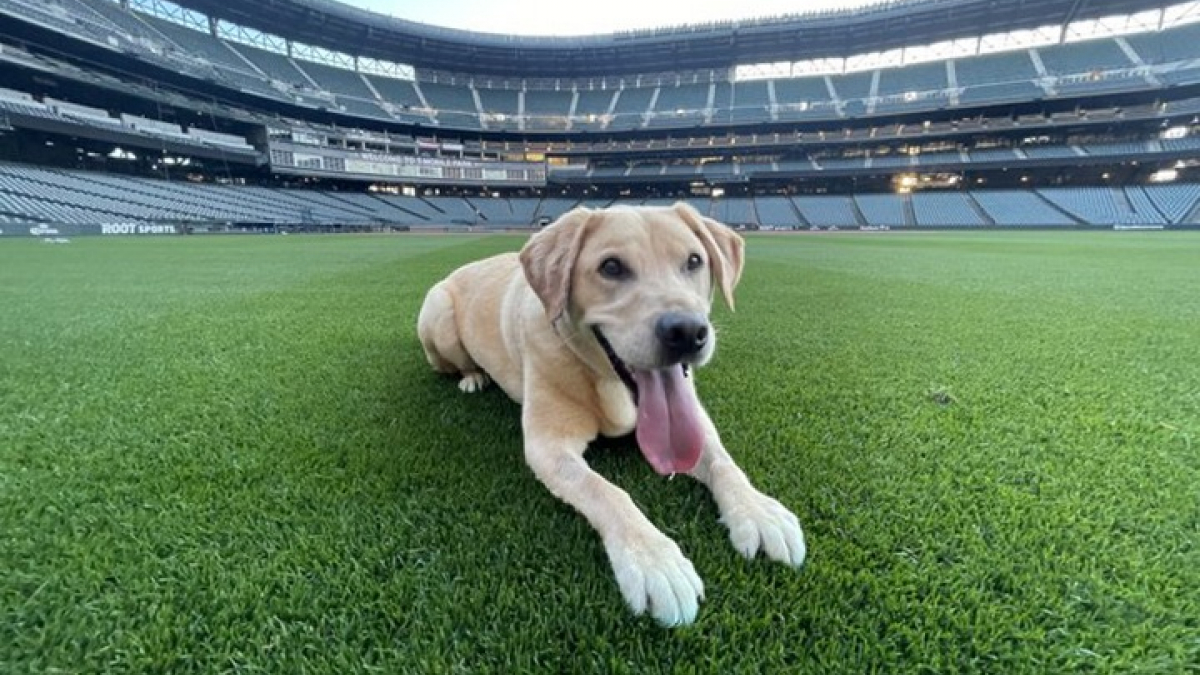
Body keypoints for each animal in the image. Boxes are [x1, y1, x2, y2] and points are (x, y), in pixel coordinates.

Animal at [417, 200, 801, 624]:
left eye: (694, 261)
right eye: (612, 267)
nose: (687, 332)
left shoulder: (695, 419)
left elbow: (722, 461)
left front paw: (758, 510)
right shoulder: (547, 446)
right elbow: (606, 491)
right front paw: (653, 560)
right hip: (438, 317)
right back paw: (472, 377)